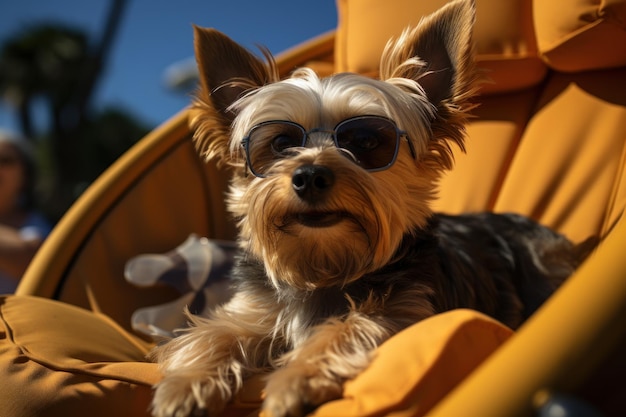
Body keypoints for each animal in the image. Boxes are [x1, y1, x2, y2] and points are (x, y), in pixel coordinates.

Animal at [149, 1, 592, 414]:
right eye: (280, 143)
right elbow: (215, 332)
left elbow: (347, 327)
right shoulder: (253, 310)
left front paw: (294, 379)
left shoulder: (405, 313)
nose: (309, 175)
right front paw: (184, 385)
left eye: (365, 141)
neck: (324, 266)